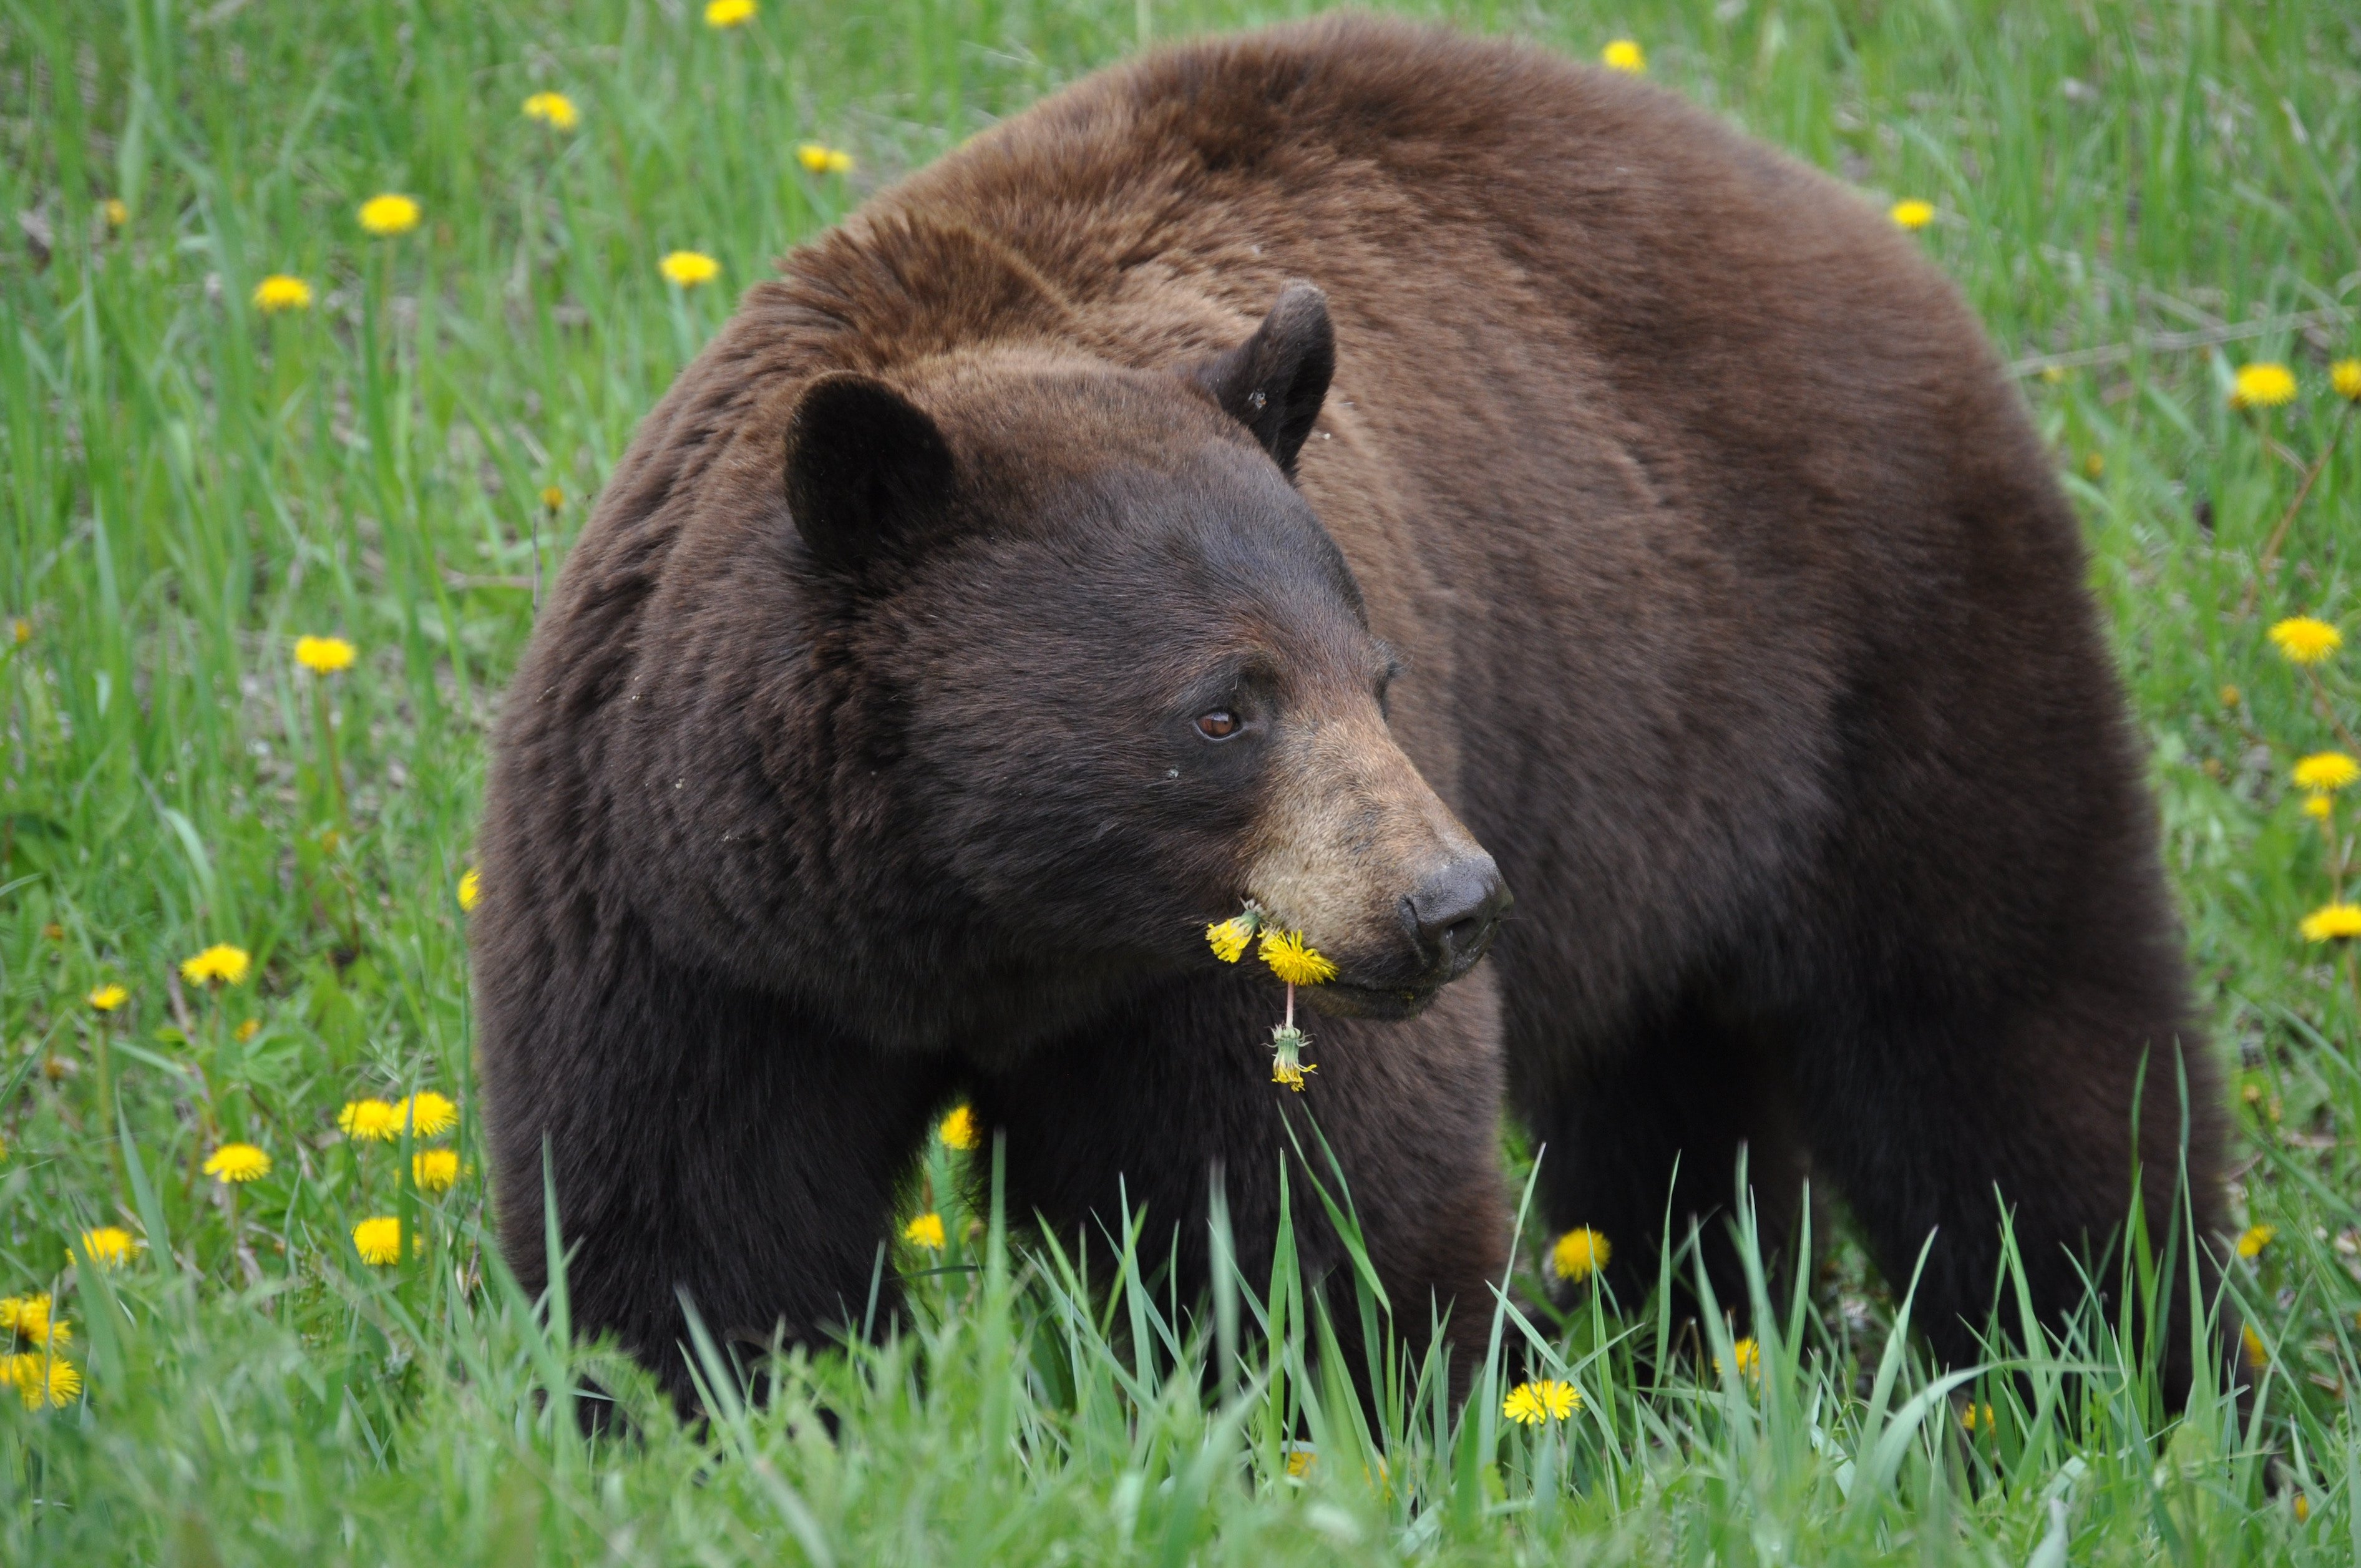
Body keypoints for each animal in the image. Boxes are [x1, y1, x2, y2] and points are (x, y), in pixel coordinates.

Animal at [474, 12, 2229, 1407]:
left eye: (1375, 676)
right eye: (1221, 708)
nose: (1448, 903)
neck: (972, 933)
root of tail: (1833, 208)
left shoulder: (1219, 972)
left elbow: (1310, 1215)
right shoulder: (686, 926)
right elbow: (694, 1231)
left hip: (1872, 647)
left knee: (2010, 1030)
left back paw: (2133, 1372)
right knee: (1678, 1093)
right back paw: (1696, 1345)